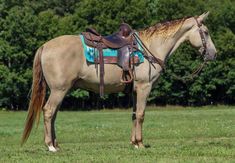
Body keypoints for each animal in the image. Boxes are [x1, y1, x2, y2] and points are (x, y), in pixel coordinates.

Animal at [22, 11, 217, 152]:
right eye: (206, 32)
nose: (213, 54)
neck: (151, 47)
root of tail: (45, 46)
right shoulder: (144, 87)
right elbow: (141, 114)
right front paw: (140, 144)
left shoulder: (135, 90)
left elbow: (134, 115)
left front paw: (133, 143)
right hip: (59, 89)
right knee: (48, 111)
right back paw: (51, 146)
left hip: (61, 90)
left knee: (53, 114)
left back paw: (56, 144)